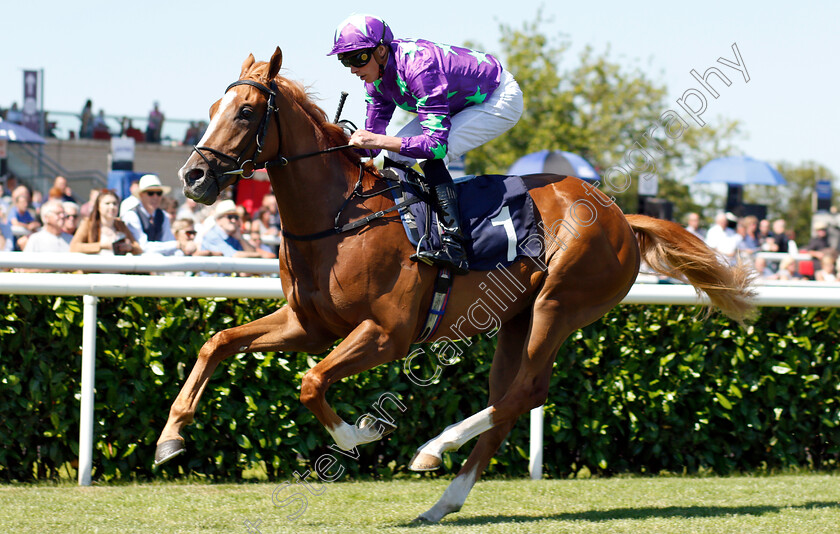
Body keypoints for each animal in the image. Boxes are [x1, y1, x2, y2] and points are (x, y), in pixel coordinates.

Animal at [154, 48, 756, 524]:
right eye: (211, 112)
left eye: (246, 111)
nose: (193, 177)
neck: (339, 217)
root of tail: (622, 217)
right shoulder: (308, 324)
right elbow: (218, 343)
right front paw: (170, 439)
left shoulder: (388, 333)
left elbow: (311, 381)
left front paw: (359, 435)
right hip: (516, 319)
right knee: (510, 400)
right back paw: (442, 500)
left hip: (559, 303)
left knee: (525, 393)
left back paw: (432, 448)